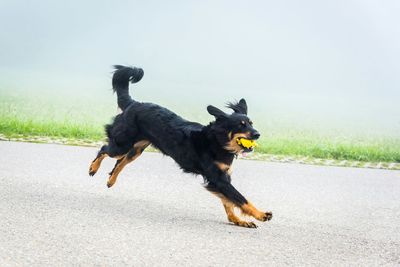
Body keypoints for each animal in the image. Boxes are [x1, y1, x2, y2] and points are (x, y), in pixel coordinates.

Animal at [89, 65, 274, 228]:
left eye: (251, 123)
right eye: (241, 125)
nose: (257, 134)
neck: (218, 141)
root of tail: (133, 103)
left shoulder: (222, 178)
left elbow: (228, 201)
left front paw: (237, 220)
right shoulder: (218, 178)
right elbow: (240, 198)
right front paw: (260, 214)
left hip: (136, 149)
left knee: (120, 162)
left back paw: (111, 180)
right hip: (122, 144)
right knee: (104, 149)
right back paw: (93, 168)